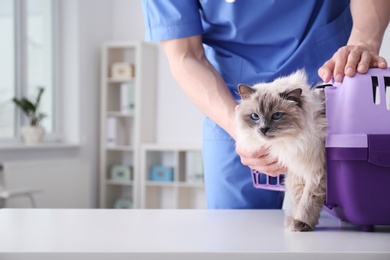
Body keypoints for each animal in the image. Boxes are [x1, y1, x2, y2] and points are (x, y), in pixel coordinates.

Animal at [235, 69, 326, 232]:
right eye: (255, 116)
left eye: (276, 115)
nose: (263, 129)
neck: (290, 141)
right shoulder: (297, 173)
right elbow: (299, 200)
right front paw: (294, 220)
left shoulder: (316, 173)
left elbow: (308, 201)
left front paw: (301, 223)